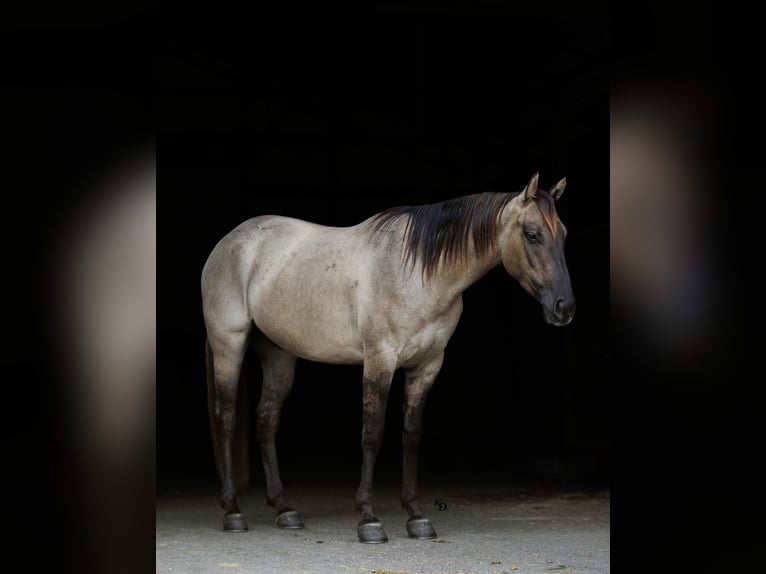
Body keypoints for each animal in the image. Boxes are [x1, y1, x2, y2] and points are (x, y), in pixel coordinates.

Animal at [201, 172, 575, 543]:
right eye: (532, 234)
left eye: (564, 235)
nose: (564, 308)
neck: (420, 272)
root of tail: (229, 241)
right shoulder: (380, 360)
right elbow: (373, 433)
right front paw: (368, 519)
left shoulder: (427, 366)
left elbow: (411, 436)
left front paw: (416, 516)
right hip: (229, 345)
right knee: (227, 417)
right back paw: (232, 512)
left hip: (279, 356)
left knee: (266, 420)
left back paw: (284, 509)